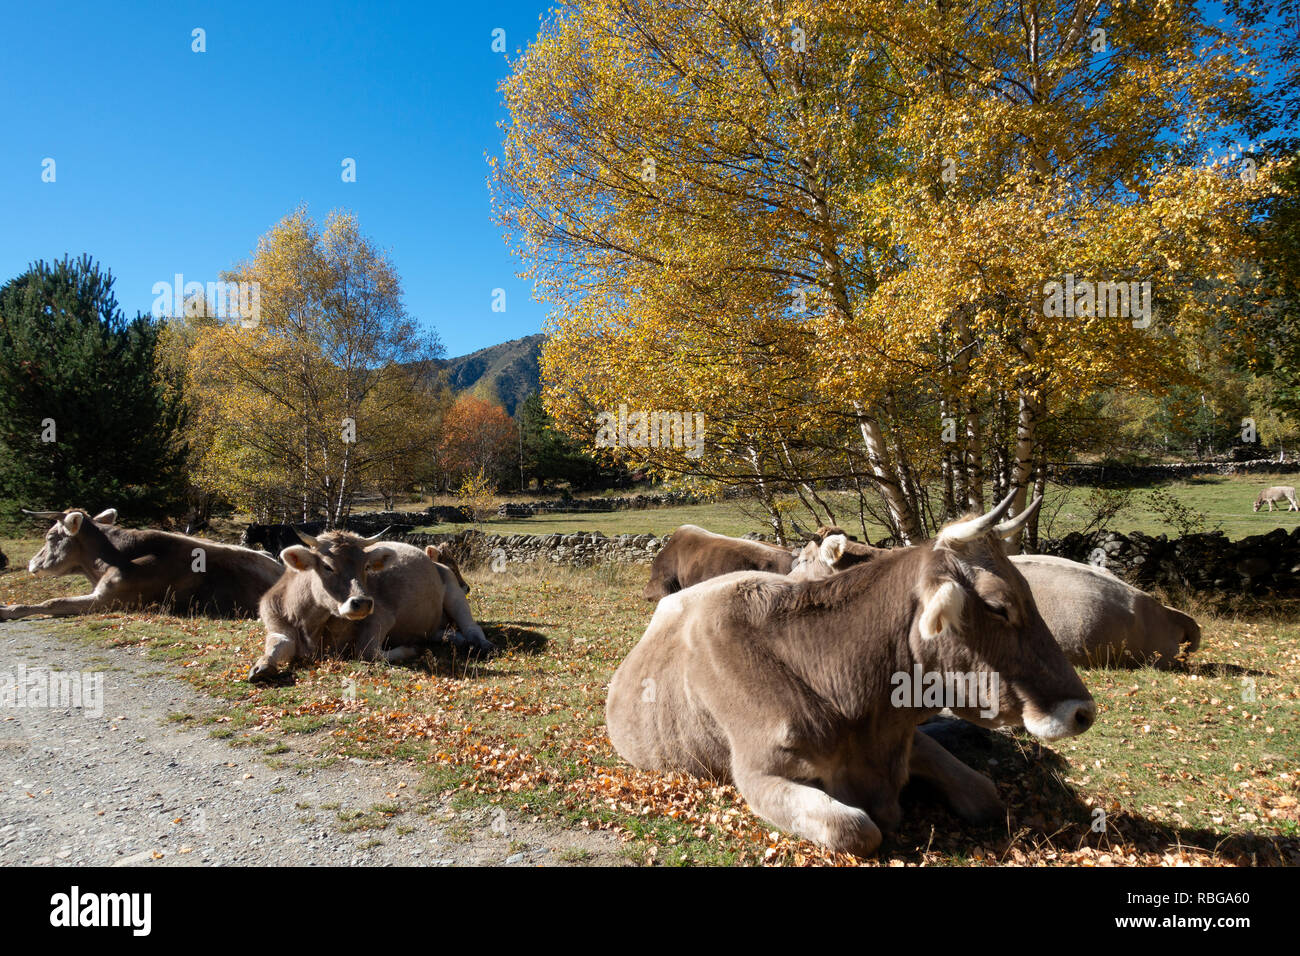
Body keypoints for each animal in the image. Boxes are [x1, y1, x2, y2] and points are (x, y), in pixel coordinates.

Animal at [250, 530, 493, 681]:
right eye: (327, 566)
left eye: (366, 566)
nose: (363, 602)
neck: (310, 626)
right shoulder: (276, 625)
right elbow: (276, 645)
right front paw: (262, 666)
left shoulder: (382, 616)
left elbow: (366, 651)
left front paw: (409, 649)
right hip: (434, 624)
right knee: (442, 633)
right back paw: (454, 639)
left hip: (455, 593)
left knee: (472, 627)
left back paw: (479, 643)